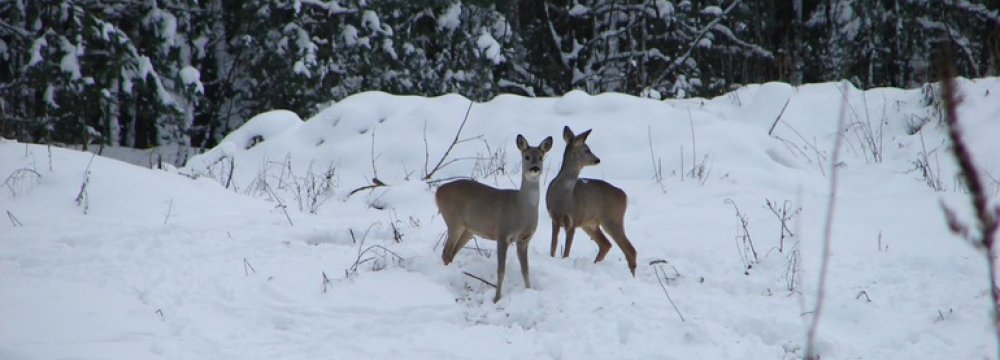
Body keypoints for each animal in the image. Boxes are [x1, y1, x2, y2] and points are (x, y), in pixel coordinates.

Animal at [436, 134, 556, 302]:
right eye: (526, 156)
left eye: (540, 157)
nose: (535, 168)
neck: (520, 208)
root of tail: (437, 191)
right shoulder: (502, 234)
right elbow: (501, 270)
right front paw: (497, 298)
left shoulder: (524, 239)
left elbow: (525, 270)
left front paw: (529, 291)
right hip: (454, 221)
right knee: (446, 252)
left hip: (468, 230)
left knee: (451, 253)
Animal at [544, 126, 636, 276]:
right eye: (587, 149)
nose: (597, 160)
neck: (563, 196)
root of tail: (624, 195)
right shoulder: (554, 219)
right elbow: (553, 247)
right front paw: (552, 258)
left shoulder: (573, 218)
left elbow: (566, 251)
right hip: (591, 224)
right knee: (606, 244)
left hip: (612, 218)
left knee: (629, 249)